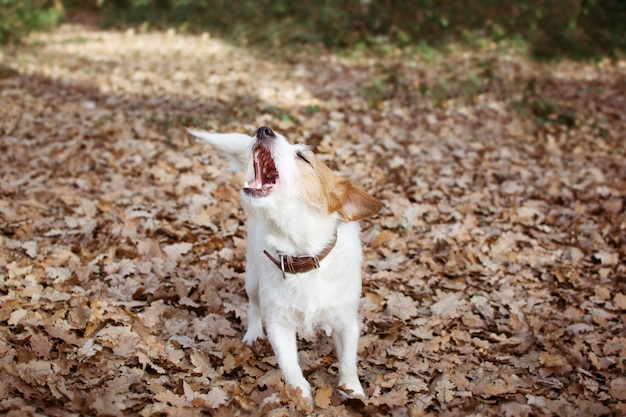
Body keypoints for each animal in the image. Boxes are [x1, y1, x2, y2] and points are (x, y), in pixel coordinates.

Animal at [185, 125, 380, 402]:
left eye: (303, 157)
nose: (263, 129)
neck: (303, 256)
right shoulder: (278, 324)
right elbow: (290, 365)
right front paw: (301, 398)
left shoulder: (347, 323)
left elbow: (348, 362)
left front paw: (353, 392)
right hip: (252, 281)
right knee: (254, 307)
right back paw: (253, 334)